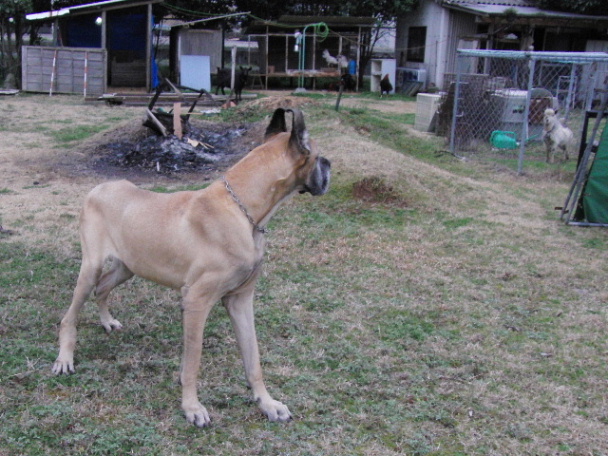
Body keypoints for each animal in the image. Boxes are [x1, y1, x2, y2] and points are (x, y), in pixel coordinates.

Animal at [52, 108, 332, 428]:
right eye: (317, 155)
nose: (329, 164)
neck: (243, 210)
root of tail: (99, 187)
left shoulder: (240, 299)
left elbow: (253, 358)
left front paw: (267, 403)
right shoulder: (197, 301)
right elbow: (193, 361)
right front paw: (192, 407)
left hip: (129, 266)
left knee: (103, 288)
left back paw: (107, 321)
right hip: (91, 266)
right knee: (70, 315)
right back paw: (64, 358)